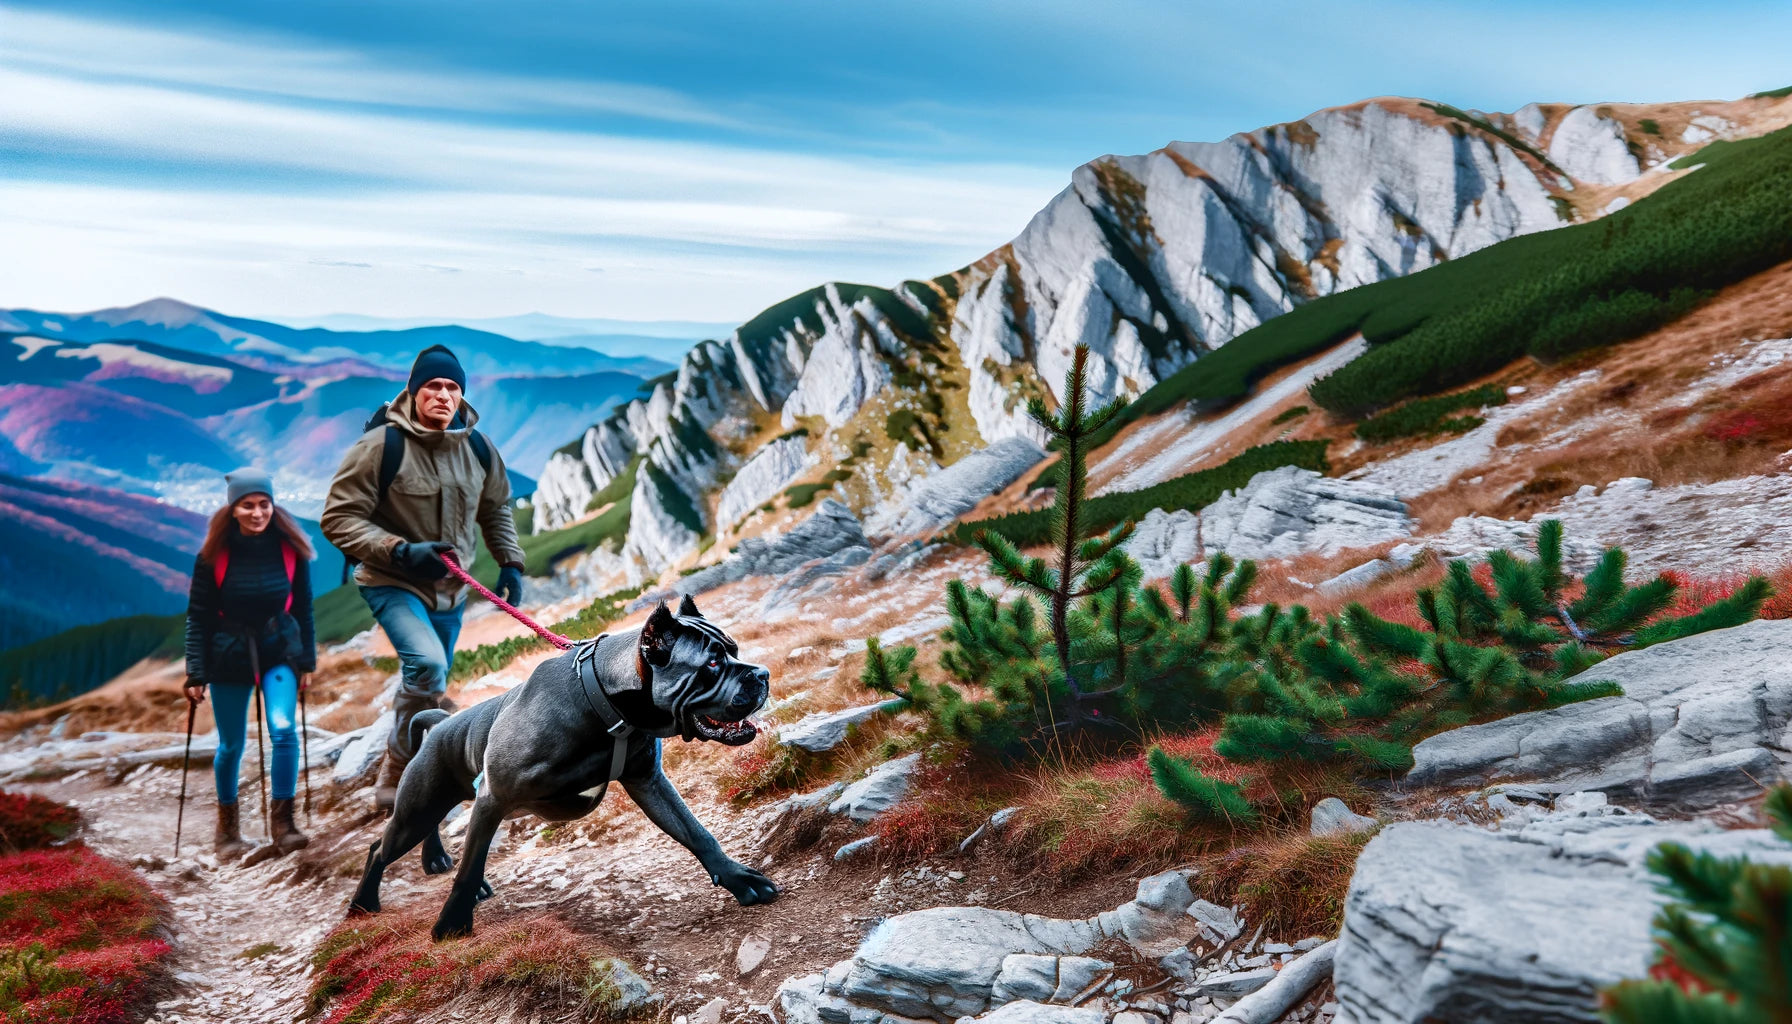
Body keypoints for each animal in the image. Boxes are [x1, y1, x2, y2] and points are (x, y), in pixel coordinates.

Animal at [345, 595, 774, 939]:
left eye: (734, 650)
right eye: (712, 663)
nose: (762, 673)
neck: (604, 701)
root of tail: (438, 725)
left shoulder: (648, 782)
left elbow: (697, 833)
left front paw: (738, 879)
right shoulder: (493, 797)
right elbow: (468, 870)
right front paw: (451, 925)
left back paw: (434, 860)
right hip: (418, 809)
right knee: (380, 848)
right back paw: (363, 903)